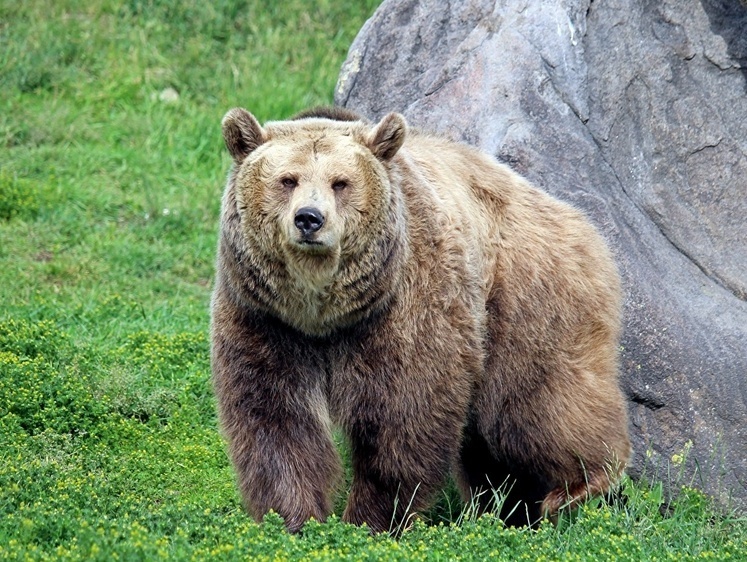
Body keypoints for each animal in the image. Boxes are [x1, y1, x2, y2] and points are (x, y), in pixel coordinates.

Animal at [210, 105, 632, 528]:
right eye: (288, 180)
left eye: (340, 183)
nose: (309, 219)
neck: (323, 314)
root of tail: (578, 220)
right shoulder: (265, 319)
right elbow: (275, 419)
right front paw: (293, 519)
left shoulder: (405, 307)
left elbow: (405, 413)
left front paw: (372, 519)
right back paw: (508, 508)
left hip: (526, 298)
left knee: (536, 406)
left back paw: (579, 487)